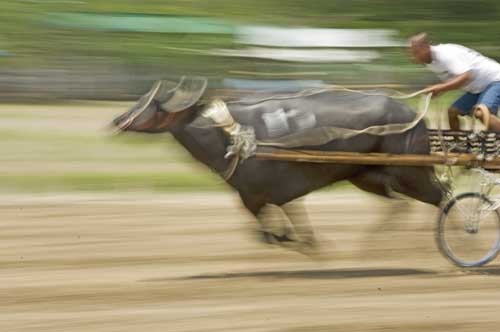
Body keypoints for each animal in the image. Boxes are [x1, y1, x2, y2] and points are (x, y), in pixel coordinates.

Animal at [111, 78, 444, 253]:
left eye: (151, 106)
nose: (118, 120)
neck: (231, 136)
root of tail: (416, 118)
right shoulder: (266, 196)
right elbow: (277, 229)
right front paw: (303, 241)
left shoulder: (264, 194)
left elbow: (276, 230)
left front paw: (303, 243)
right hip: (369, 178)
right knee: (403, 203)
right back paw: (376, 241)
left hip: (411, 173)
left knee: (443, 197)